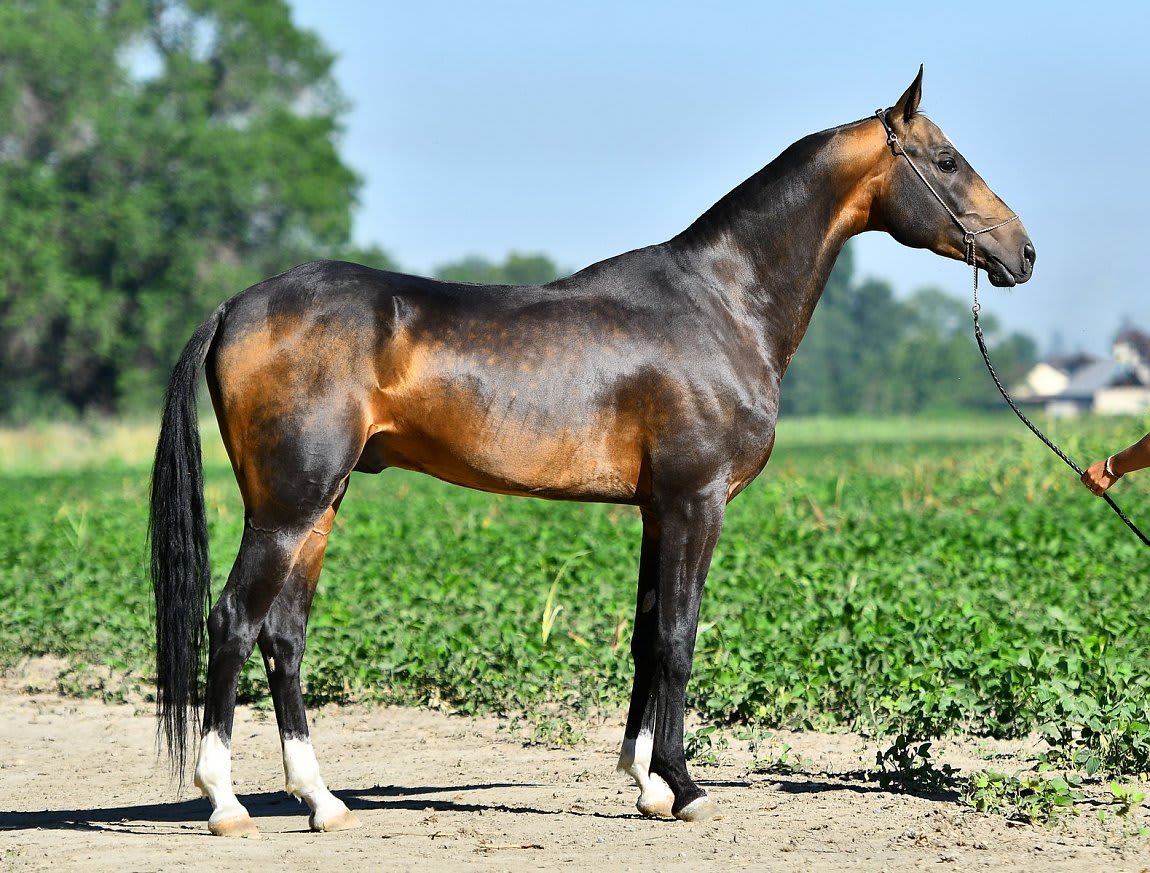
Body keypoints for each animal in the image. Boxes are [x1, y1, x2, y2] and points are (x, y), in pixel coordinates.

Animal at [150, 67, 1035, 835]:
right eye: (947, 161)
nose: (1023, 252)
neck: (721, 303)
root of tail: (236, 304)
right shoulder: (694, 501)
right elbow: (678, 638)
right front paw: (685, 786)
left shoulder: (657, 509)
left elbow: (646, 636)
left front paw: (646, 783)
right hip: (286, 507)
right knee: (233, 622)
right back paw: (224, 802)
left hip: (318, 506)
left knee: (283, 635)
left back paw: (322, 800)